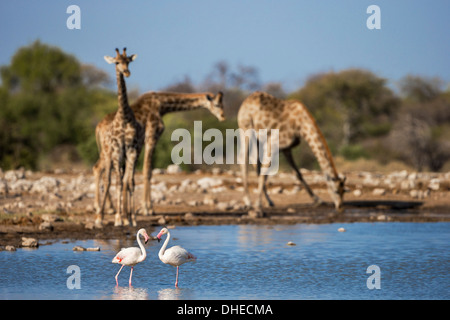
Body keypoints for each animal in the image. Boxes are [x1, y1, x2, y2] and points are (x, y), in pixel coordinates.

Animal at [93, 48, 144, 228]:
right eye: (116, 62)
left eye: (128, 61)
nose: (126, 72)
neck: (124, 117)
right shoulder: (117, 152)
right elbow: (118, 182)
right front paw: (117, 218)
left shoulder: (131, 151)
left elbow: (130, 183)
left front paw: (131, 218)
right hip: (107, 154)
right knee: (105, 176)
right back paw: (100, 216)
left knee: (121, 179)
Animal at [94, 89, 224, 218]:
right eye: (217, 104)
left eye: (222, 104)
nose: (223, 117)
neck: (161, 105)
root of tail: (98, 127)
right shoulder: (152, 136)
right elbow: (147, 170)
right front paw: (147, 209)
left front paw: (144, 208)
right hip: (110, 150)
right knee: (101, 170)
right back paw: (105, 208)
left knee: (99, 168)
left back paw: (106, 208)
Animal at [237, 91, 346, 219]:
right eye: (336, 191)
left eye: (344, 191)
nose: (340, 208)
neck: (301, 125)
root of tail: (245, 102)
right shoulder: (273, 143)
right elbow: (265, 174)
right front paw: (258, 208)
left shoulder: (286, 148)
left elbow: (297, 173)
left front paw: (318, 200)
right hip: (246, 128)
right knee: (243, 158)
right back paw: (248, 201)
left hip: (258, 137)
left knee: (255, 162)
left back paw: (269, 201)